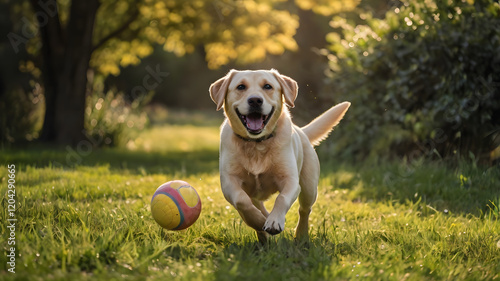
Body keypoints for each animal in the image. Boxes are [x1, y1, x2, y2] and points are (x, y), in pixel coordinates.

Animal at [209, 69, 350, 242]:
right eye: (241, 87)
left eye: (267, 86)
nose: (255, 100)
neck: (257, 144)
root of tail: (302, 131)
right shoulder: (229, 182)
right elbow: (242, 201)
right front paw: (259, 221)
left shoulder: (291, 181)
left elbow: (281, 199)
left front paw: (274, 221)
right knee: (256, 204)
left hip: (309, 187)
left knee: (304, 210)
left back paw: (301, 235)